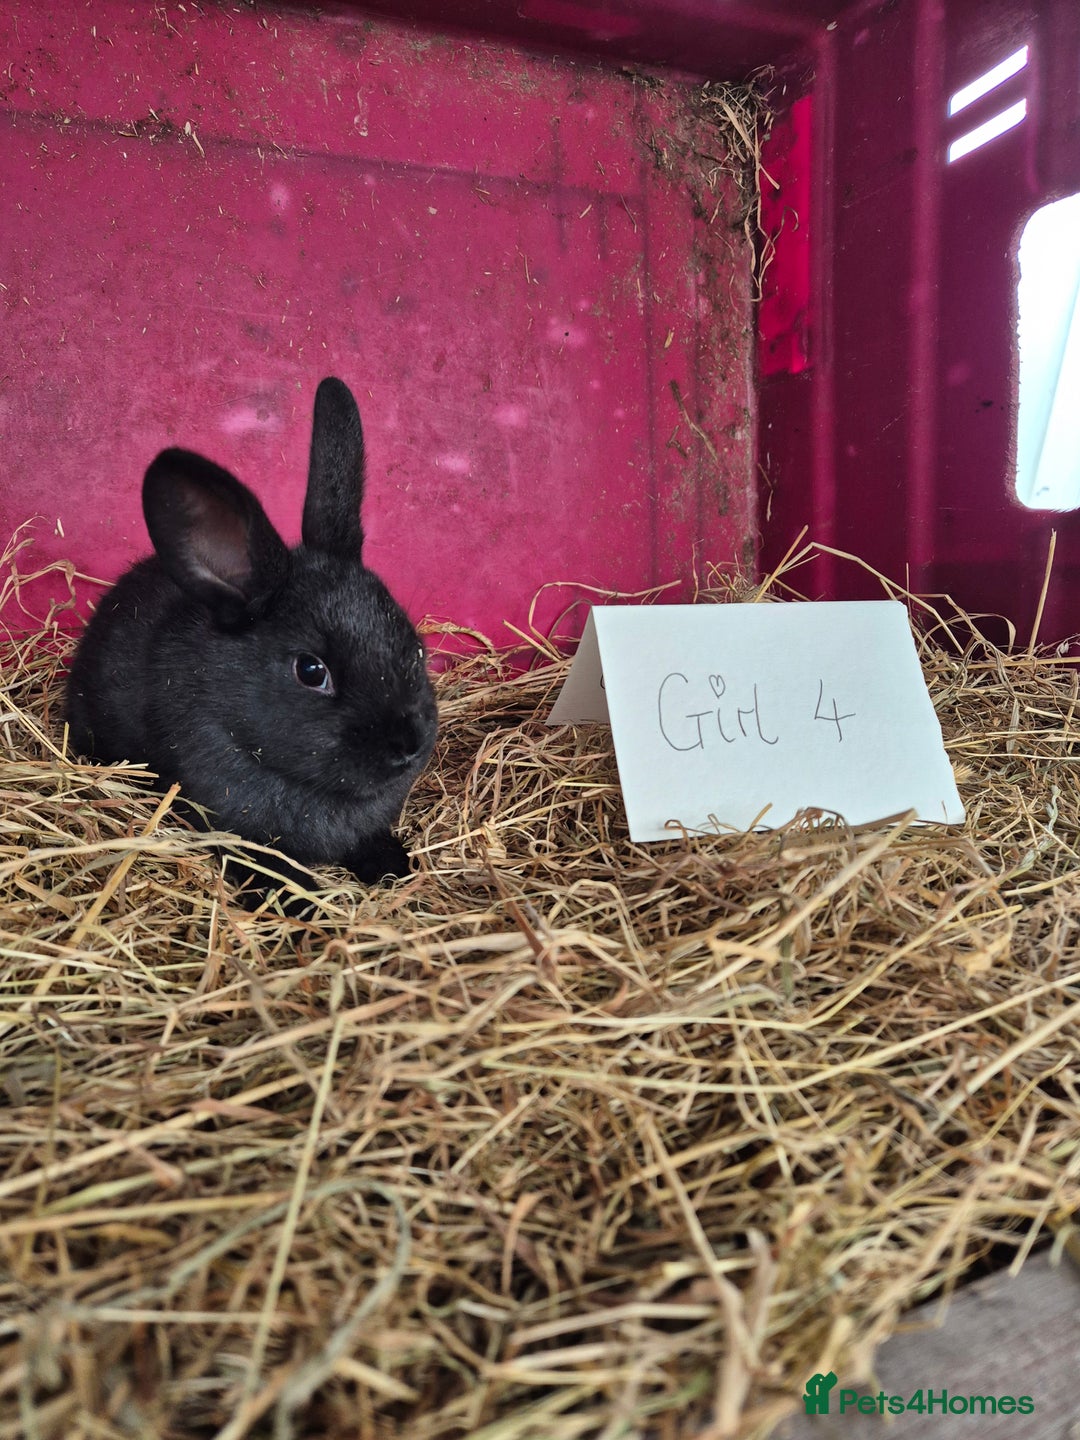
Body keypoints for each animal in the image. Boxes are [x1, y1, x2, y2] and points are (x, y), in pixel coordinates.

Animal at [65, 376, 438, 909]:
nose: (408, 745)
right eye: (311, 671)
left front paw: (392, 865)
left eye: (415, 646)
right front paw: (306, 908)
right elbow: (275, 871)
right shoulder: (237, 830)